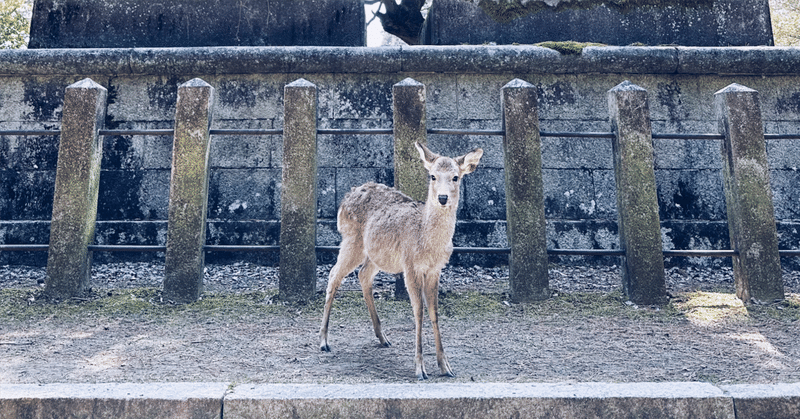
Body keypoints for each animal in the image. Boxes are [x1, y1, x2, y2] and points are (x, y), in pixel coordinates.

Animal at [318, 141, 482, 380]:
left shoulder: (436, 269)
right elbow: (419, 311)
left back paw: (383, 337)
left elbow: (434, 312)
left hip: (376, 254)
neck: (428, 244)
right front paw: (420, 369)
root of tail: (345, 199)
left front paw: (445, 367)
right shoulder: (410, 265)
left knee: (363, 274)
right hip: (351, 241)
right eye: (432, 176)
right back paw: (323, 341)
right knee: (333, 275)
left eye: (455, 177)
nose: (442, 198)